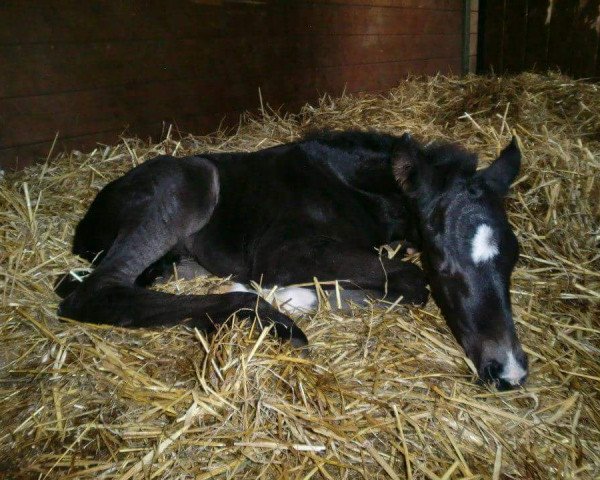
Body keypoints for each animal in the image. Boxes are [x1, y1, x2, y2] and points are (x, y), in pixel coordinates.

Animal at [55, 131, 524, 390]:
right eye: (443, 263)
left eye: (513, 259)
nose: (510, 372)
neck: (350, 188)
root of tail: (86, 221)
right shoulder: (282, 253)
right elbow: (410, 281)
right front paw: (292, 299)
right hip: (189, 182)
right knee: (94, 291)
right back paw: (267, 315)